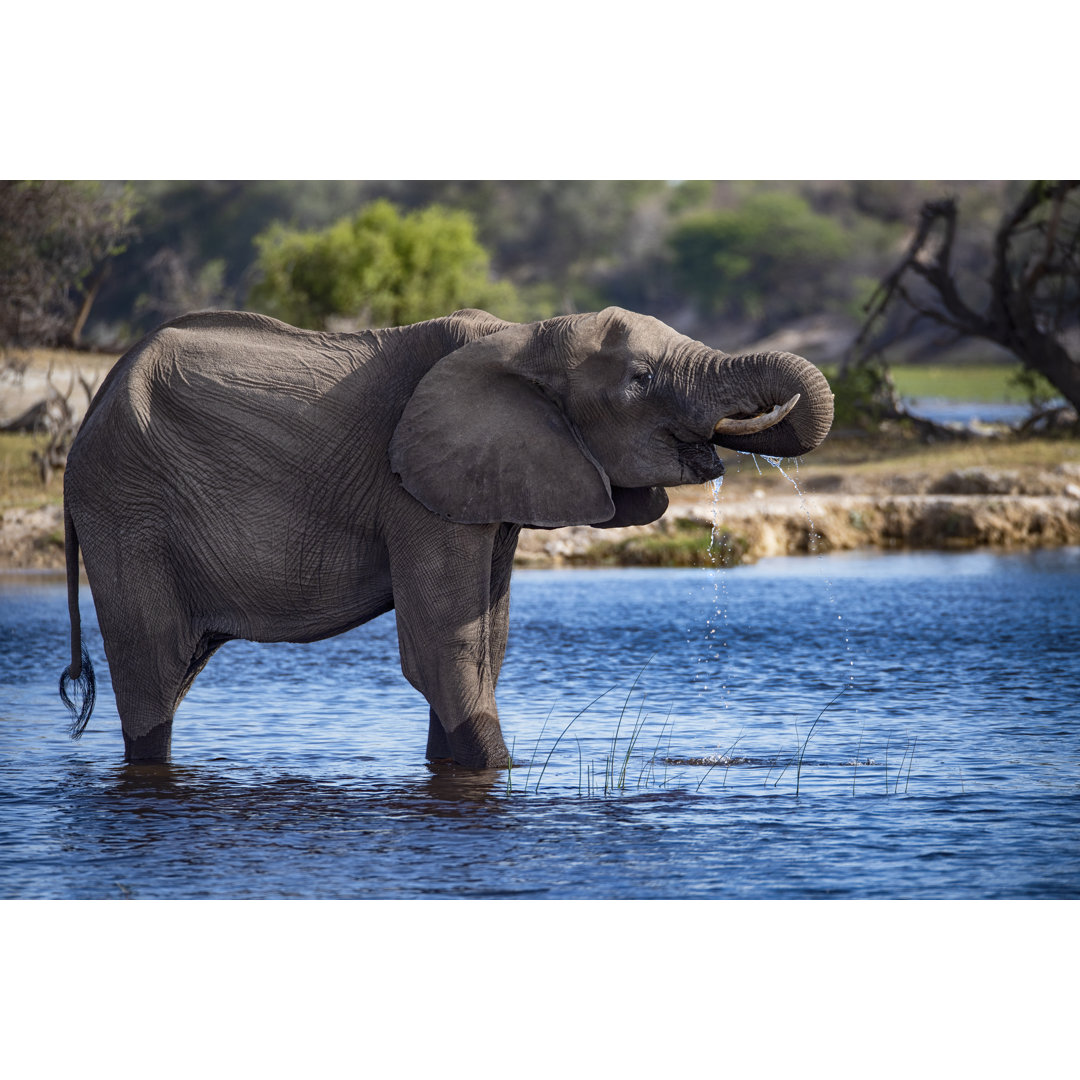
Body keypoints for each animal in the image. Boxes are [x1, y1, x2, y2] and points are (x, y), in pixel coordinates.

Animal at [59, 308, 833, 773]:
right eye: (640, 381)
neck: (525, 335)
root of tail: (90, 406)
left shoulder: (487, 482)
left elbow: (487, 642)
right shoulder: (414, 491)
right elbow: (444, 647)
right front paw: (511, 773)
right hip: (127, 507)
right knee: (153, 668)